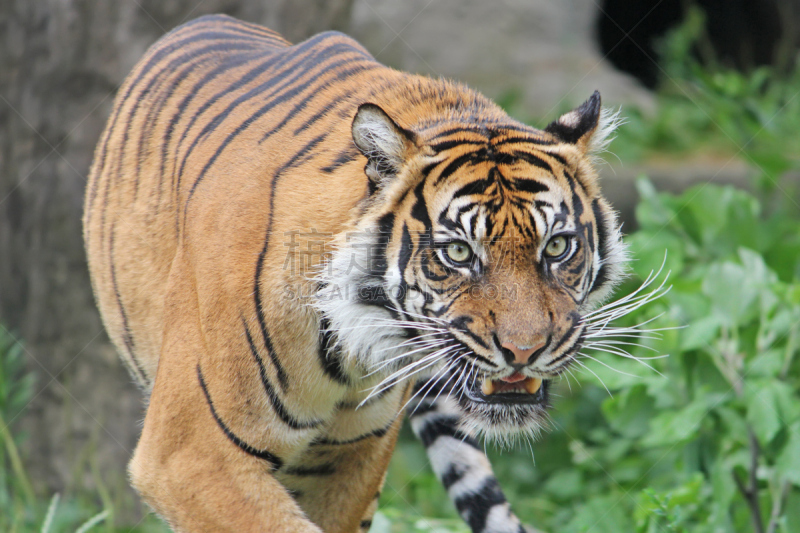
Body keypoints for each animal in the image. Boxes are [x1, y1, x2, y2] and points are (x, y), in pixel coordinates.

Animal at [84, 13, 628, 532]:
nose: (524, 351)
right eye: (457, 253)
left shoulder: (349, 458)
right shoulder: (192, 454)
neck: (349, 354)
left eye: (557, 246)